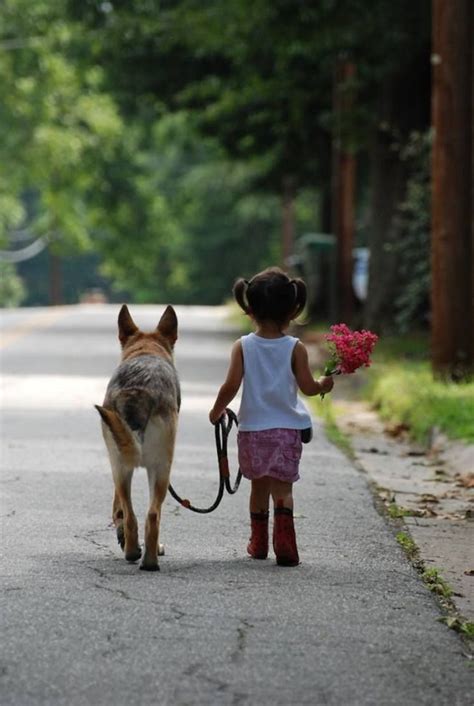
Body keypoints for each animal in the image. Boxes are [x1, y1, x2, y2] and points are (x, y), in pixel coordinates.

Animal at [95, 306, 180, 568]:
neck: (146, 349)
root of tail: (138, 390)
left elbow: (119, 511)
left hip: (122, 465)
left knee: (134, 515)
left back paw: (135, 553)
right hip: (159, 469)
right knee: (151, 515)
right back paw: (145, 558)